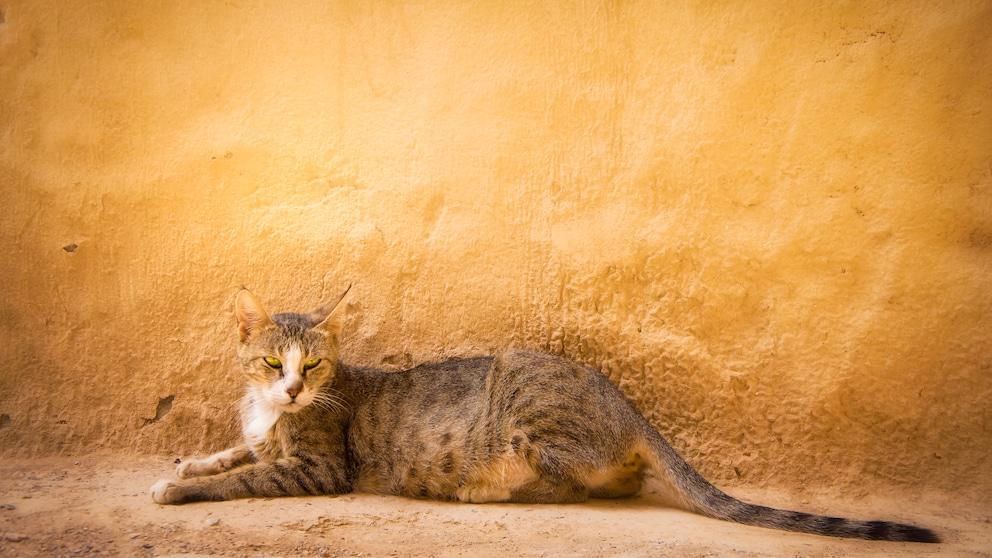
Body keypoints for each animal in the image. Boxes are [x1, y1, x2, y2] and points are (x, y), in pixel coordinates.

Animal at [151, 286, 940, 544]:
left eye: (311, 367)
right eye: (268, 363)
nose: (289, 390)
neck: (274, 414)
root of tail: (627, 402)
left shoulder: (319, 468)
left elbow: (244, 477)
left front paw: (181, 488)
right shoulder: (266, 437)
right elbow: (236, 453)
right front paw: (190, 461)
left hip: (521, 403)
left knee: (576, 484)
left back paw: (487, 491)